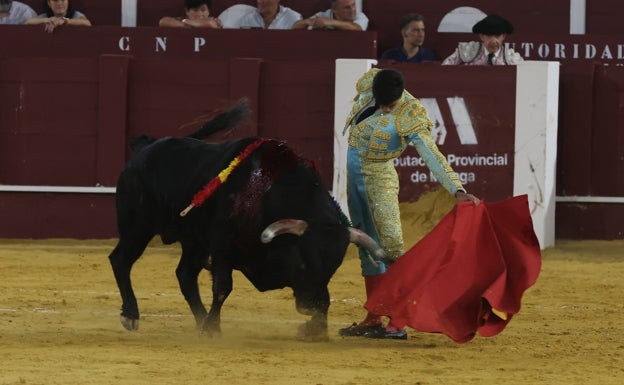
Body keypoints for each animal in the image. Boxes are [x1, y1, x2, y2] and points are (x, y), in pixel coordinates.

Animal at [109, 100, 388, 340]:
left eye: (333, 267)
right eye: (302, 262)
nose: (311, 305)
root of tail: (146, 149)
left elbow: (328, 297)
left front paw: (315, 329)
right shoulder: (222, 247)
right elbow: (223, 287)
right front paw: (213, 328)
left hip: (193, 242)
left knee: (185, 275)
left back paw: (199, 320)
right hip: (137, 227)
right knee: (121, 260)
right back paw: (132, 315)